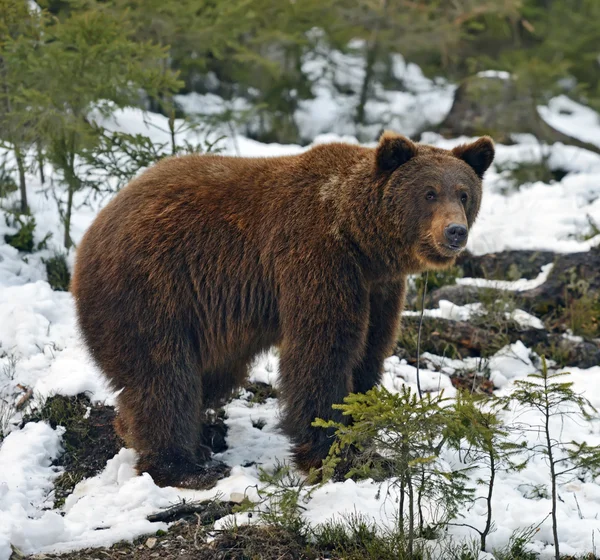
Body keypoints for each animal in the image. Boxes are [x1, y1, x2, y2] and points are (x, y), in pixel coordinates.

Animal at [70, 130, 494, 486]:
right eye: (429, 192)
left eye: (463, 193)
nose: (455, 231)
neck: (361, 240)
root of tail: (93, 229)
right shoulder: (317, 258)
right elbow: (322, 352)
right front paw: (334, 454)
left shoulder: (379, 288)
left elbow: (369, 354)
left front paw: (364, 438)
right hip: (151, 288)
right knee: (163, 374)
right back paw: (181, 464)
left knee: (210, 373)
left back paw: (190, 433)